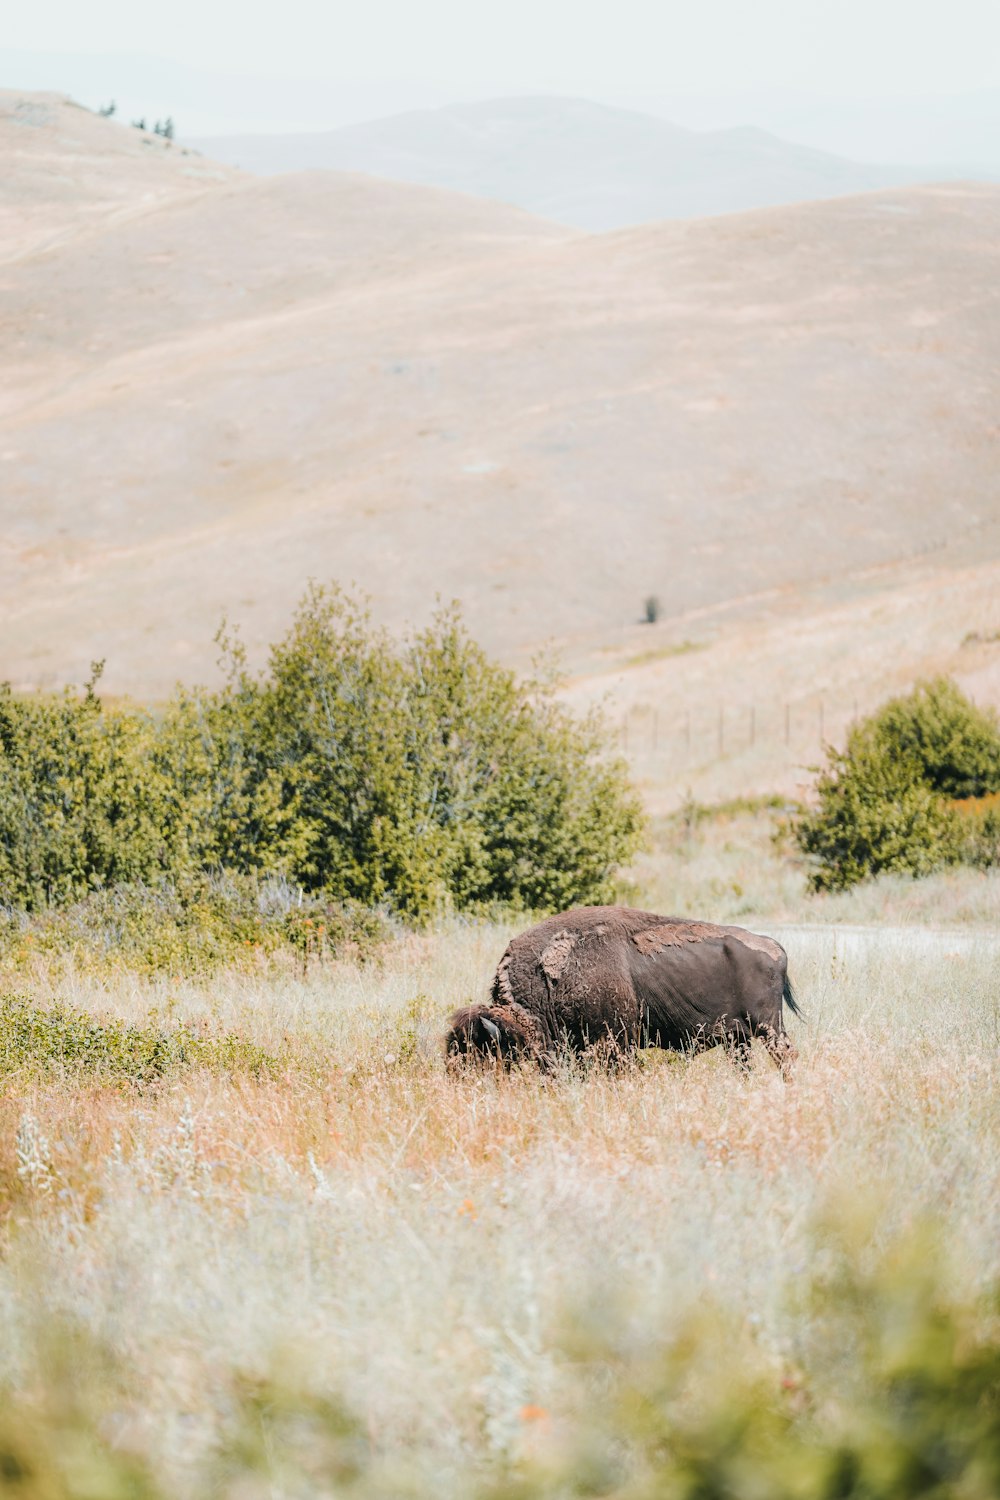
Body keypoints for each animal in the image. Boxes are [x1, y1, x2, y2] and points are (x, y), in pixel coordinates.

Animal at [446, 906, 797, 1074]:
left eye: (483, 1055)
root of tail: (774, 946)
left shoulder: (614, 1040)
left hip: (769, 1028)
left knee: (785, 1057)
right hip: (738, 1039)